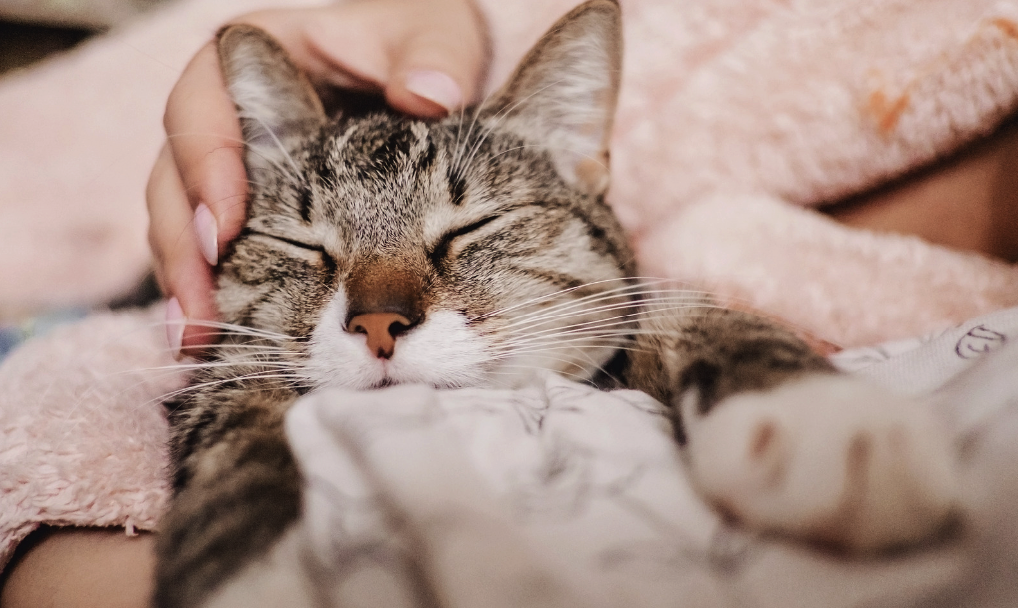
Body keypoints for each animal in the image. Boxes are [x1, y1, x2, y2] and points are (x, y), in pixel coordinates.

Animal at [154, 2, 956, 602]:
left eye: (472, 227)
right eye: (304, 245)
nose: (377, 323)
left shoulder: (624, 309)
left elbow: (697, 313)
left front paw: (821, 415)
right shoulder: (221, 376)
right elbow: (241, 449)